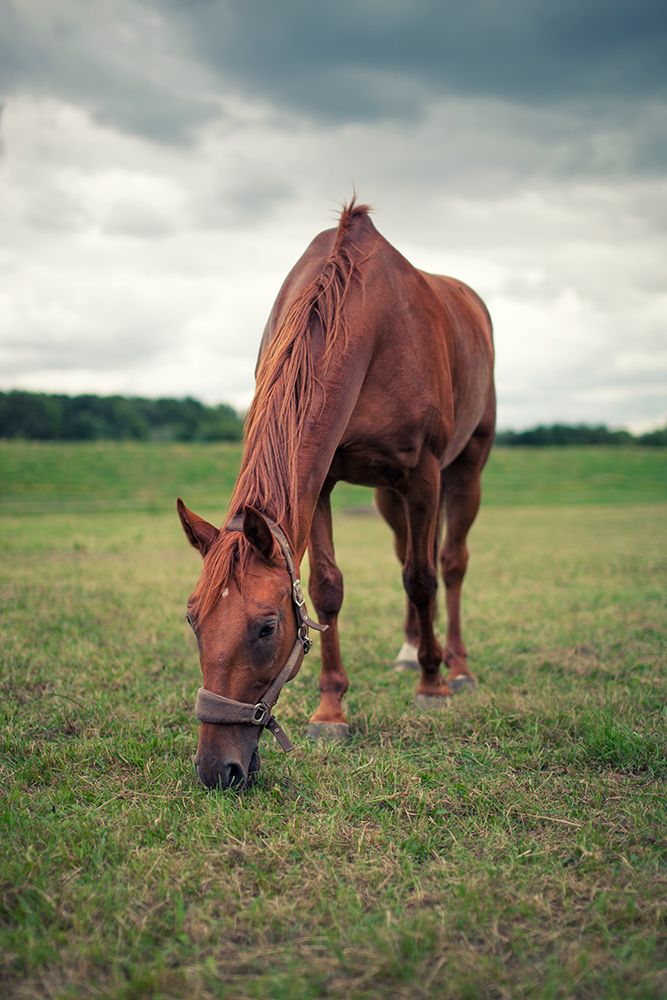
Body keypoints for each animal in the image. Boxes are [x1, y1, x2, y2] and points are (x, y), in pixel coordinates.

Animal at [177, 199, 496, 788]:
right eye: (193, 619)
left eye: (267, 627)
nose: (215, 769)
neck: (370, 322)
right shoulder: (323, 480)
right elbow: (327, 589)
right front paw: (330, 712)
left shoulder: (424, 474)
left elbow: (422, 578)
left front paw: (432, 686)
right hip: (389, 498)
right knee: (408, 552)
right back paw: (410, 649)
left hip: (464, 471)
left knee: (449, 563)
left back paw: (456, 666)